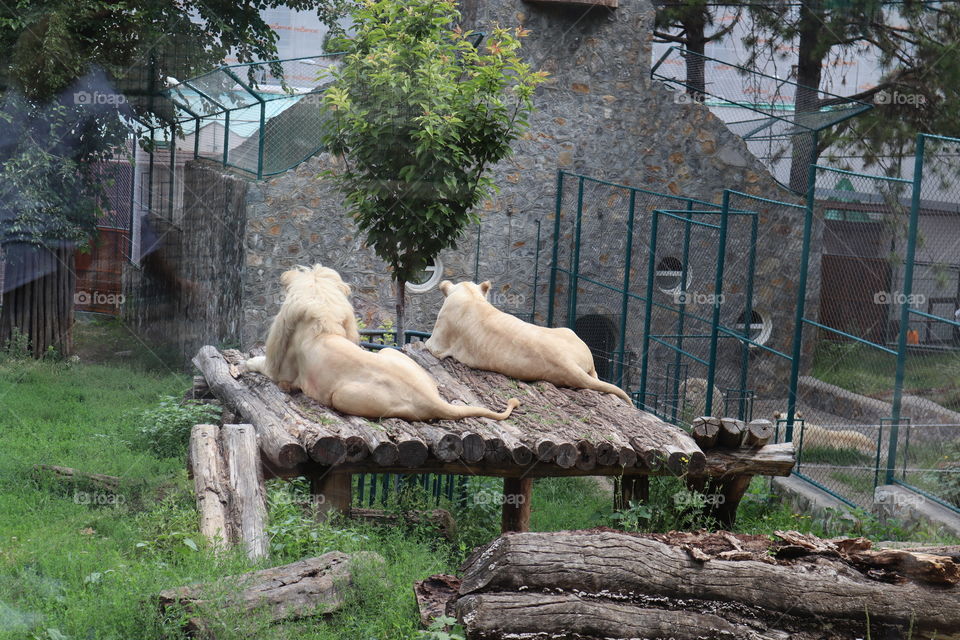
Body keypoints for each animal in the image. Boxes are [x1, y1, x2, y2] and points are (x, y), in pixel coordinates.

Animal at [245, 267, 519, 421]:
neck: (322, 326)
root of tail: (430, 399)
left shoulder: (282, 372)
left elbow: (259, 363)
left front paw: (243, 365)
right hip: (389, 351)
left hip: (341, 396)